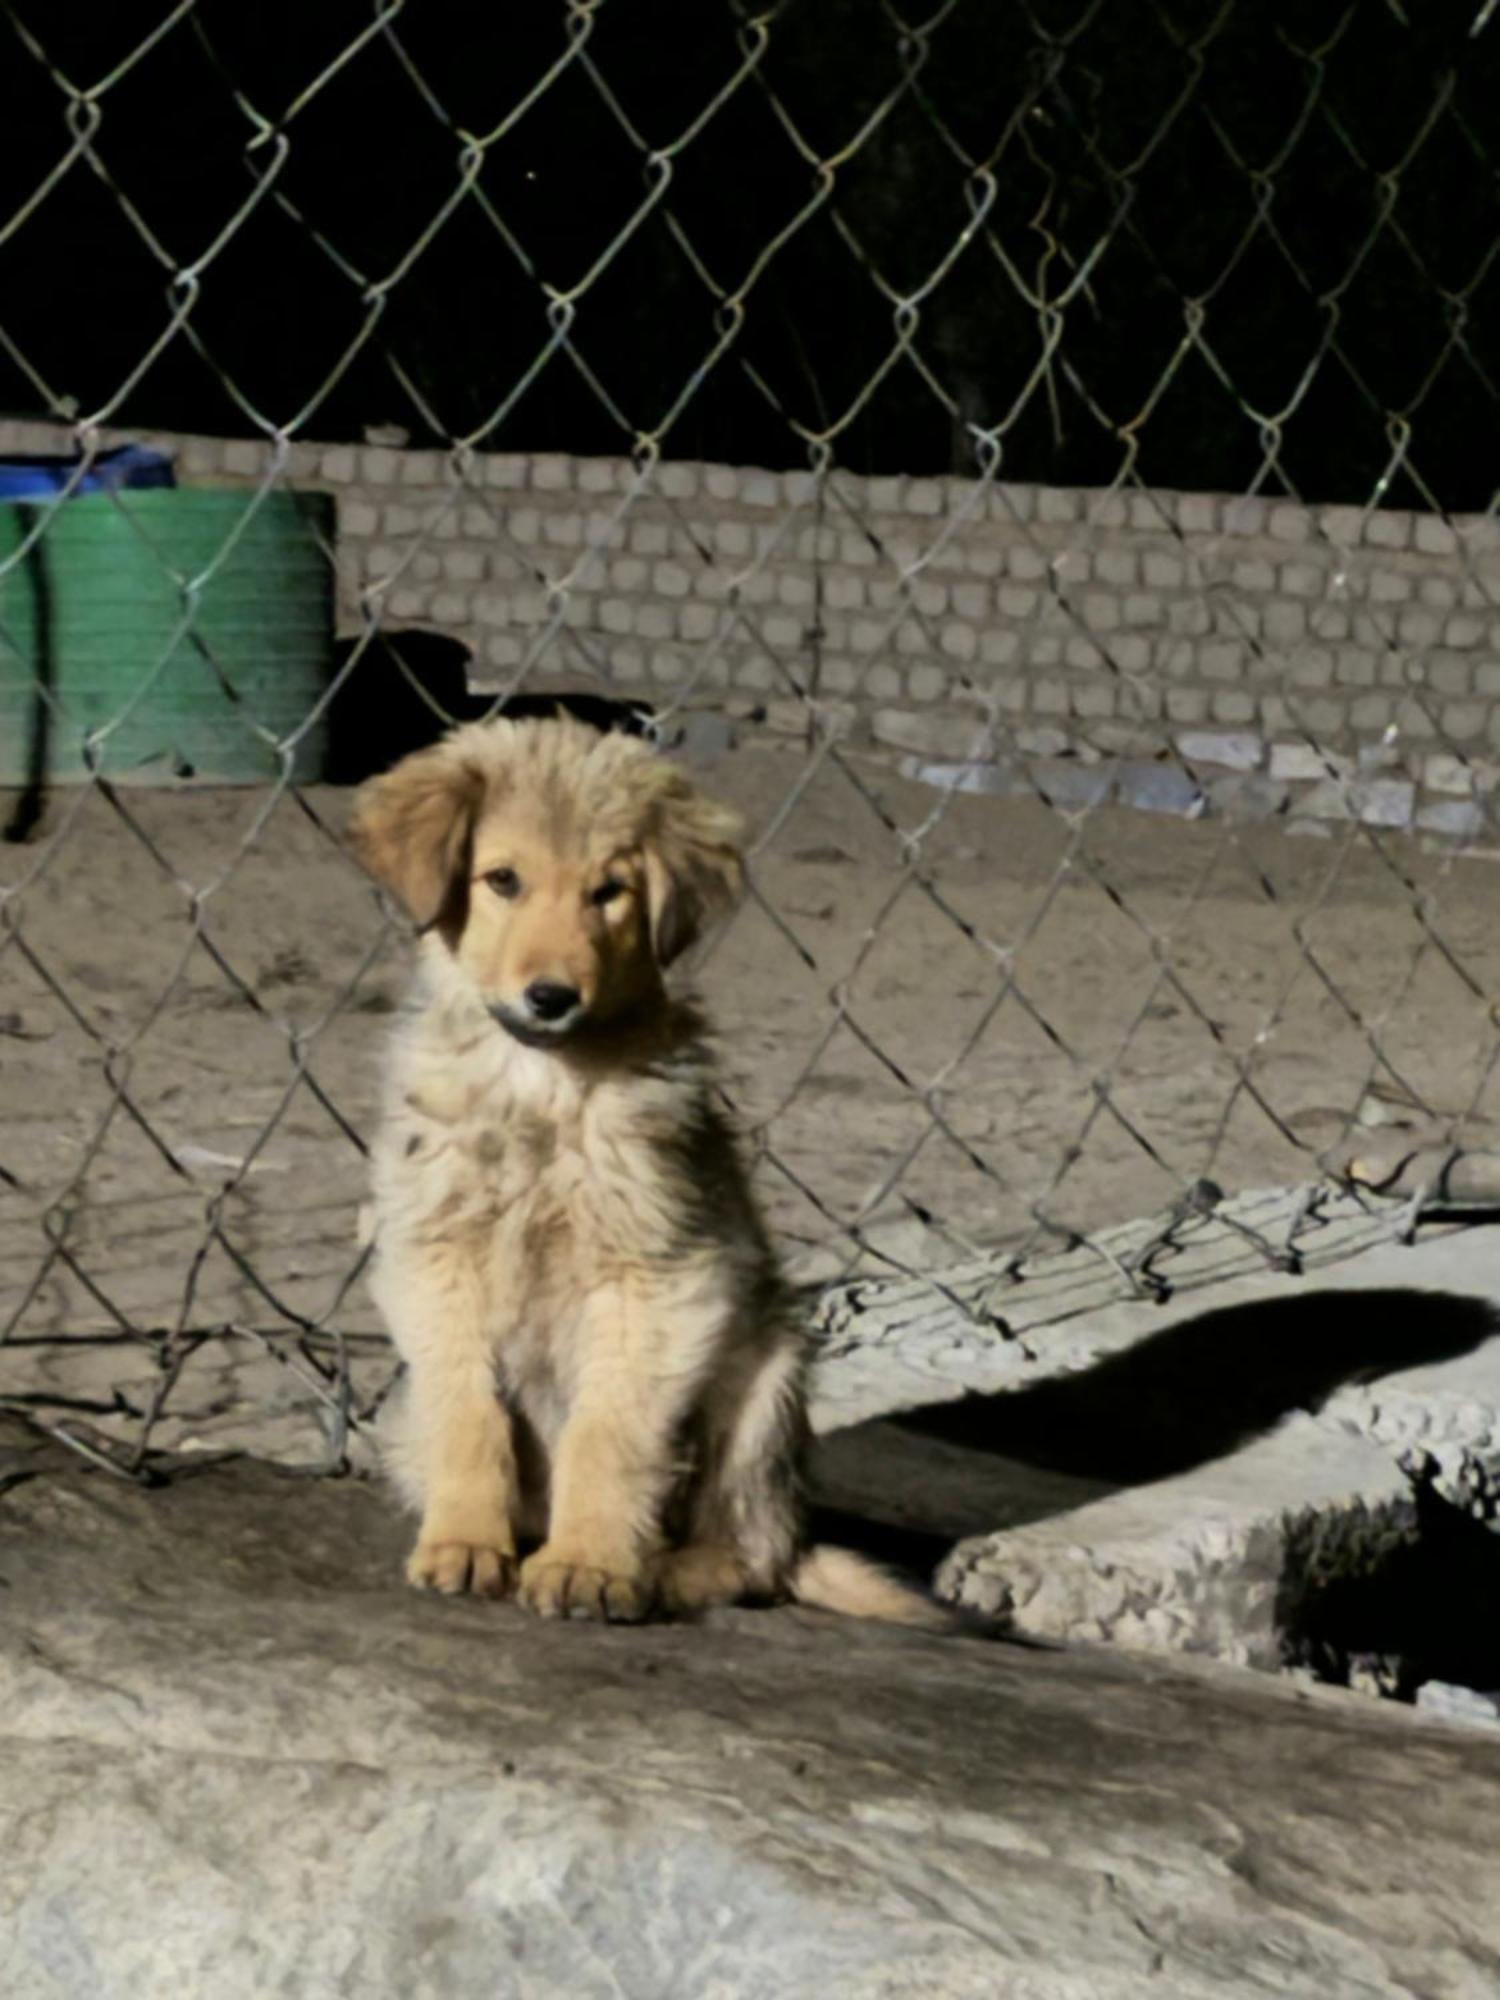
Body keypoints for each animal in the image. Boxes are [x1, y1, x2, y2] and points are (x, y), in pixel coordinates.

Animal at [348, 720, 944, 1624]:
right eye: (503, 880)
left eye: (610, 893)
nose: (551, 996)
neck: (541, 1083)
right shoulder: (435, 1253)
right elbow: (469, 1415)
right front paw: (464, 1542)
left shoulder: (658, 1275)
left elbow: (608, 1431)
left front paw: (588, 1563)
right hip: (400, 1418)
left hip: (765, 1382)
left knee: (752, 1558)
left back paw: (665, 1571)